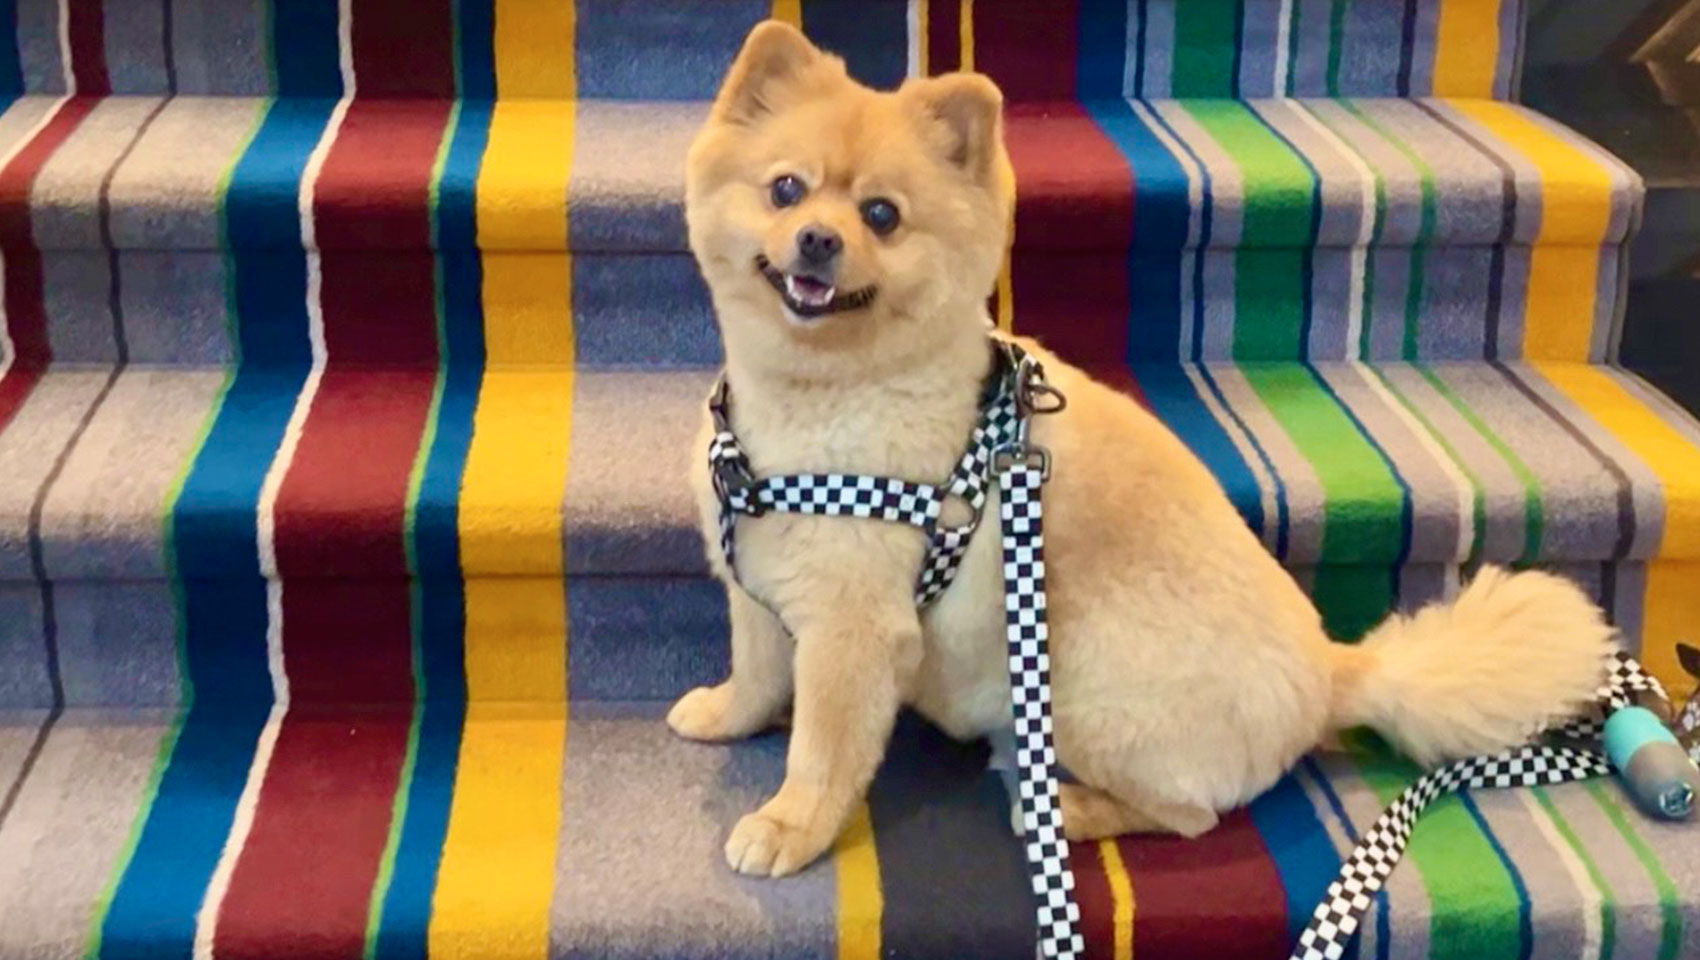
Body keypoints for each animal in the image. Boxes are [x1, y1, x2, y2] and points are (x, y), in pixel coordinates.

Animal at [669, 20, 1611, 876]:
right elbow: (758, 673)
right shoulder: (757, 582)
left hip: (1082, 685)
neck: (823, 399)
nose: (819, 239)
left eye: (881, 216)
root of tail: (1331, 673)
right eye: (785, 190)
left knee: (1190, 815)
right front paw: (724, 716)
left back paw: (1065, 809)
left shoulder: (855, 629)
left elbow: (823, 751)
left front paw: (790, 829)